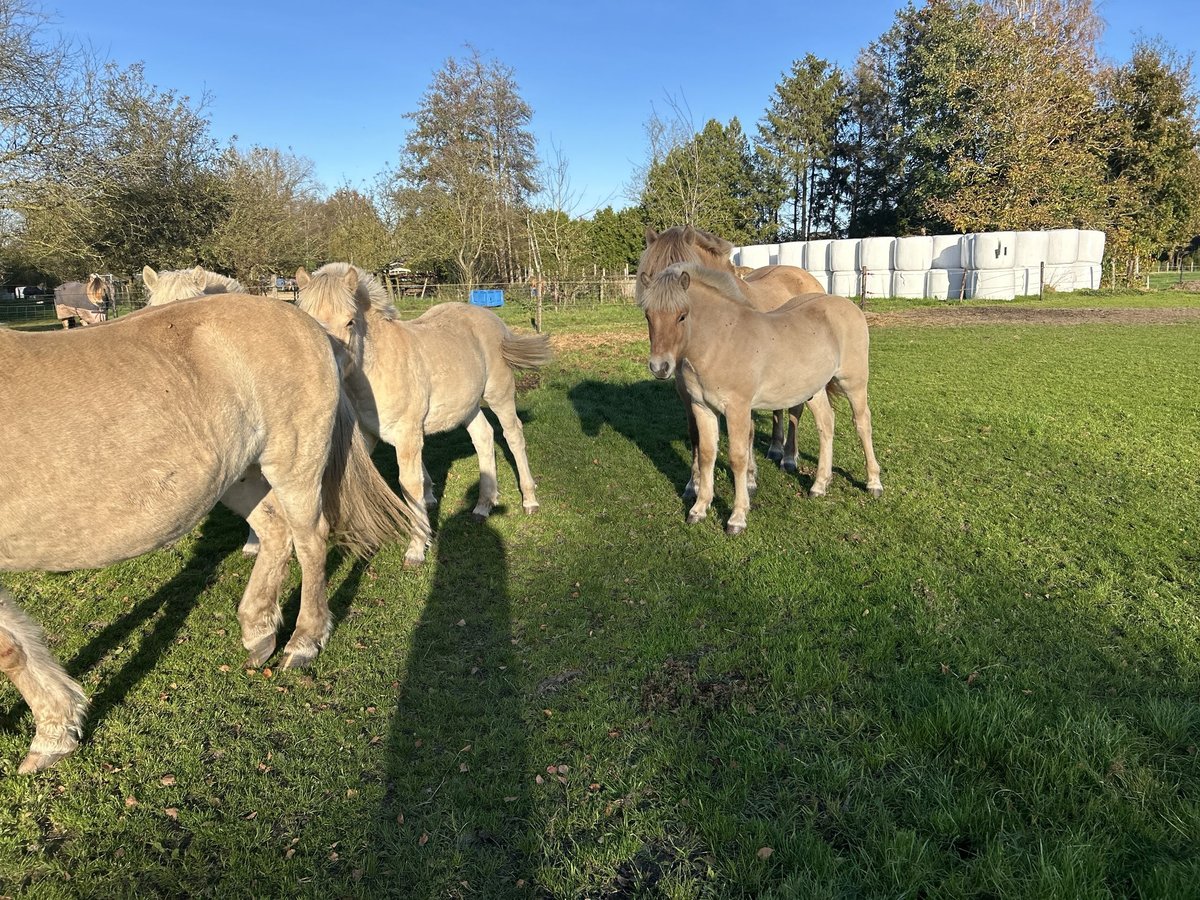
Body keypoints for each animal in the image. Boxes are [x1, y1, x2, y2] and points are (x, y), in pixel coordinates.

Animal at [0, 297, 420, 777]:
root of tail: (308, 323)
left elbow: (8, 649)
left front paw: (51, 733)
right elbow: (18, 644)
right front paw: (57, 729)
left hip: (294, 462)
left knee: (311, 541)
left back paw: (304, 641)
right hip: (240, 474)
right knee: (275, 531)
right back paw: (259, 631)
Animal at [297, 264, 549, 566]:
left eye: (349, 322)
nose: (325, 373)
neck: (377, 368)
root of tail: (494, 321)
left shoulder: (407, 434)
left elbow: (409, 485)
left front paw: (416, 548)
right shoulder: (368, 437)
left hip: (499, 395)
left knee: (513, 436)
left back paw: (529, 500)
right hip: (468, 406)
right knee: (484, 438)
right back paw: (482, 506)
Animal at [638, 264, 883, 540]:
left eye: (682, 316)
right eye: (648, 315)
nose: (660, 367)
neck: (721, 340)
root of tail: (849, 306)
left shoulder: (737, 409)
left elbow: (738, 458)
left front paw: (737, 518)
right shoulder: (703, 409)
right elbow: (707, 455)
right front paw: (698, 509)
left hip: (854, 383)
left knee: (862, 424)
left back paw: (874, 483)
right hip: (815, 389)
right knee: (826, 424)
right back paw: (819, 485)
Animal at [643, 225, 830, 475]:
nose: (660, 367)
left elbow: (747, 433)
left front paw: (749, 475)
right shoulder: (688, 392)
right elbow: (696, 435)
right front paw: (694, 481)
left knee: (794, 410)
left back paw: (789, 457)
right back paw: (775, 448)